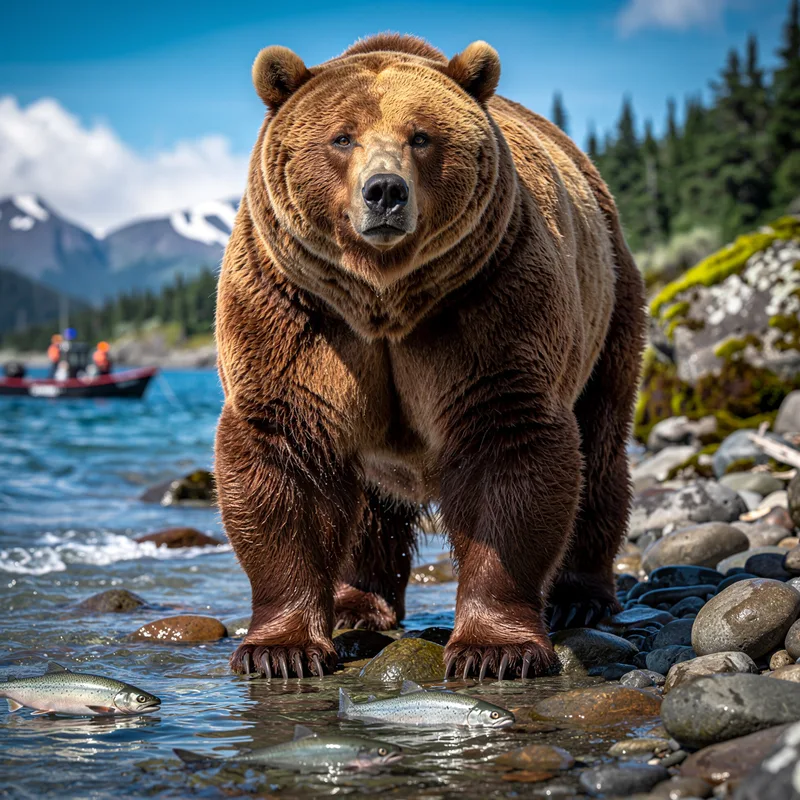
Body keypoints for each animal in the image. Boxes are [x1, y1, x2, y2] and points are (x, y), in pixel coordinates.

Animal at [215, 33, 646, 681]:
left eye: (421, 136)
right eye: (342, 137)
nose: (385, 191)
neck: (384, 299)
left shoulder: (485, 303)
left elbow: (506, 447)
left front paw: (497, 650)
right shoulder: (297, 311)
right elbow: (285, 454)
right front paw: (281, 650)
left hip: (610, 304)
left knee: (598, 447)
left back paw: (579, 596)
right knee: (370, 504)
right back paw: (357, 604)